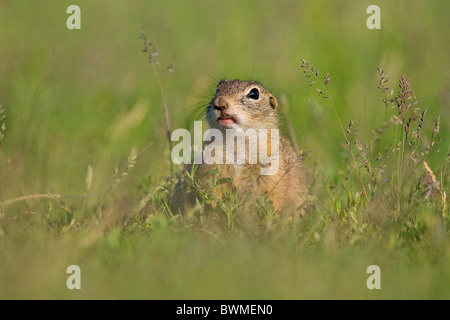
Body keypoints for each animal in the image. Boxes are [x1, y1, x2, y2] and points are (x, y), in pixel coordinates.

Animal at [173, 79, 310, 214]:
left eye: (254, 94)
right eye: (217, 89)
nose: (220, 103)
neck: (236, 140)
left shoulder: (273, 171)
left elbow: (273, 197)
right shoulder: (211, 166)